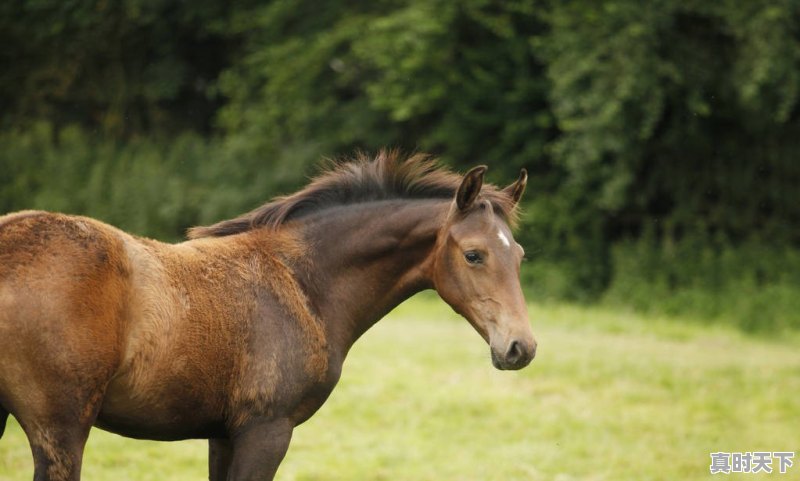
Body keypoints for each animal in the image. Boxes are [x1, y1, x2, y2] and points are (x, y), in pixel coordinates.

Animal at [1, 152, 536, 480]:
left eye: (520, 255)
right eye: (473, 255)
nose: (521, 348)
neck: (304, 282)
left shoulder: (222, 433)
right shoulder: (267, 429)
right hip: (61, 428)